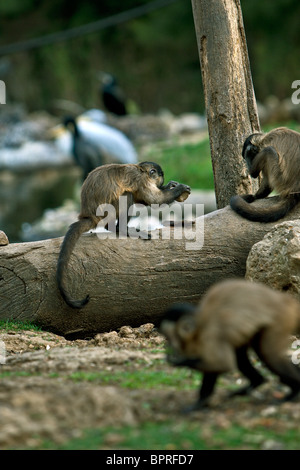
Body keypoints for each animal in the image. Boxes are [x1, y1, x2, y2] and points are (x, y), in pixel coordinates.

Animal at [56, 162, 190, 308]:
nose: (162, 183)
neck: (141, 170)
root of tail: (89, 215)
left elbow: (144, 199)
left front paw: (170, 186)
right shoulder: (140, 179)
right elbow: (154, 200)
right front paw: (179, 188)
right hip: (106, 212)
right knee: (127, 194)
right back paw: (120, 228)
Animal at [159, 280, 300, 412]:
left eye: (169, 337)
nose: (168, 344)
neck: (199, 329)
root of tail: (285, 300)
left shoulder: (210, 336)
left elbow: (223, 364)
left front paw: (178, 361)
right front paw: (201, 402)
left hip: (281, 319)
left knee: (268, 354)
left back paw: (294, 391)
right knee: (242, 353)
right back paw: (256, 382)